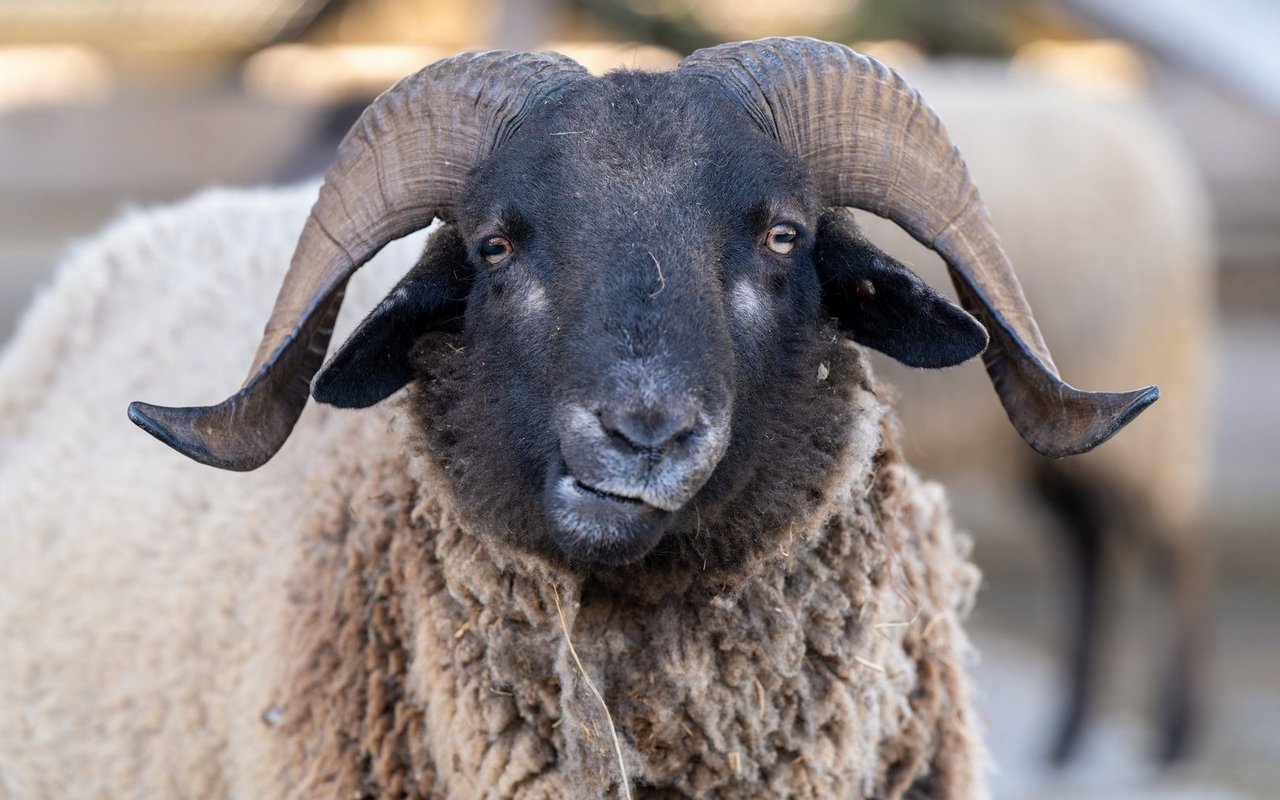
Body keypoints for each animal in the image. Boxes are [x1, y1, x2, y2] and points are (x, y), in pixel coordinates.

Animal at [856, 63, 1214, 764]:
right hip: (1068, 445)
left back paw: (1176, 735)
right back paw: (1067, 735)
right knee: (1091, 545)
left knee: (1174, 545)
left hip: (1153, 405)